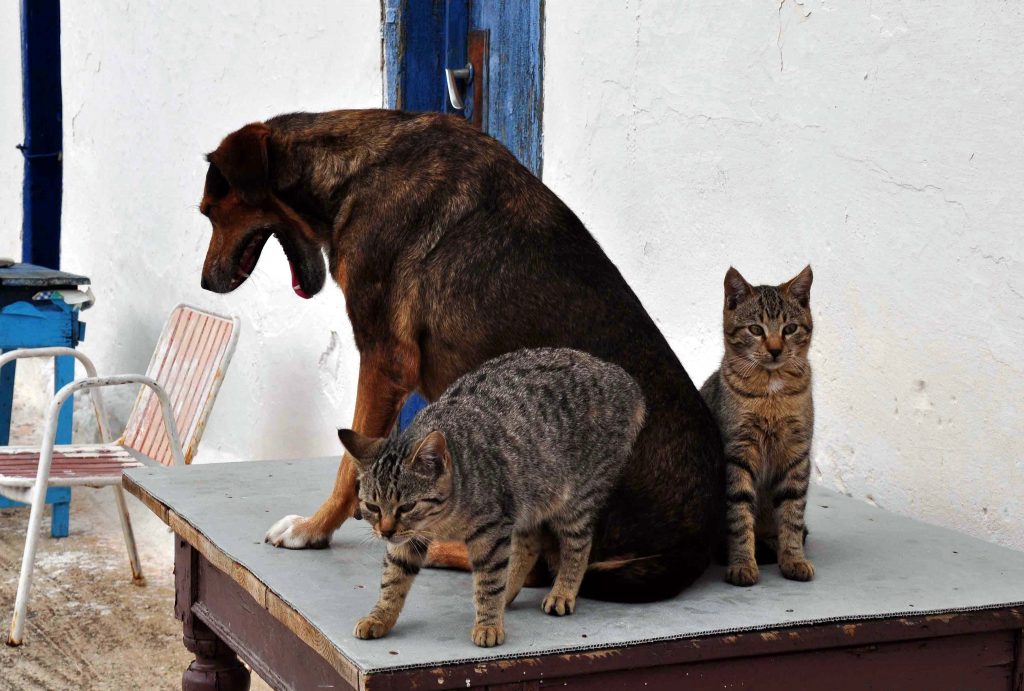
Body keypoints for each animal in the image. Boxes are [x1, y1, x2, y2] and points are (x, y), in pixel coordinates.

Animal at [199, 111, 724, 601]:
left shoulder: (384, 358)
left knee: (537, 566)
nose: (205, 282)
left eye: (209, 212)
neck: (353, 169)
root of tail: (697, 541)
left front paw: (313, 529)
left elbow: (350, 468)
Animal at [344, 348, 647, 646]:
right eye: (372, 506)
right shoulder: (411, 539)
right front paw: (380, 616)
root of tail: (623, 380)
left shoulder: (491, 530)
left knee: (578, 544)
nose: (385, 532)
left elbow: (489, 581)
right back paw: (509, 591)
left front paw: (488, 624)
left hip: (575, 497)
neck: (444, 519)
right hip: (529, 495)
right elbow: (393, 578)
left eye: (407, 506)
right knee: (529, 543)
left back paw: (562, 591)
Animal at [700, 268, 811, 585]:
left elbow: (792, 513)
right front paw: (742, 563)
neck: (771, 392)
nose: (775, 350)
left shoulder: (797, 454)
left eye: (790, 328)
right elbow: (739, 515)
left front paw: (793, 558)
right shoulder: (737, 454)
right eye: (756, 330)